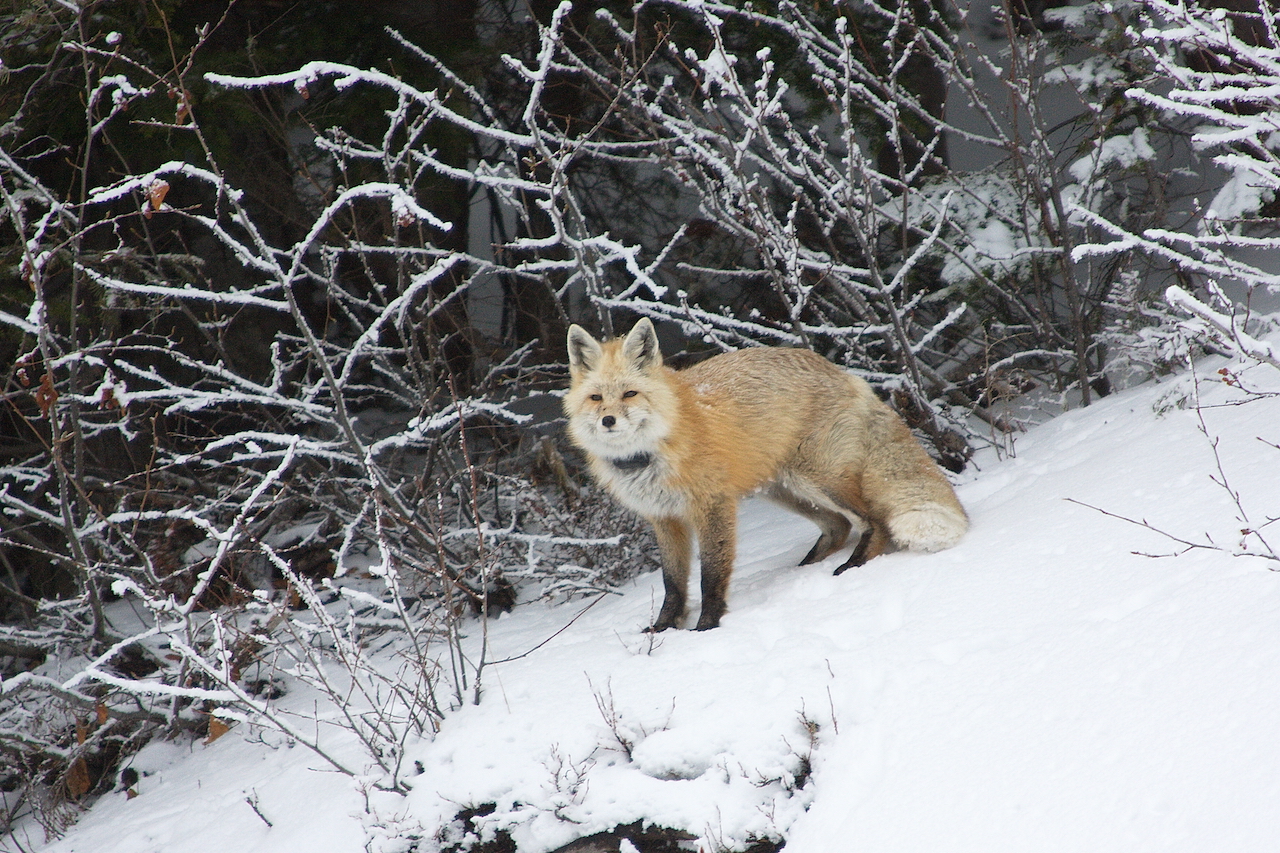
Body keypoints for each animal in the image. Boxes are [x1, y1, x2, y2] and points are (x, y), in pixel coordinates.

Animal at [565, 315, 962, 627]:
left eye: (629, 394)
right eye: (596, 398)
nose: (608, 420)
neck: (653, 450)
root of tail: (839, 371)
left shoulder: (713, 506)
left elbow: (711, 576)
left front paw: (706, 627)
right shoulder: (665, 518)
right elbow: (673, 584)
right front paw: (663, 630)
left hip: (818, 478)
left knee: (873, 521)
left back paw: (853, 566)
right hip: (784, 490)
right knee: (838, 526)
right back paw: (802, 570)